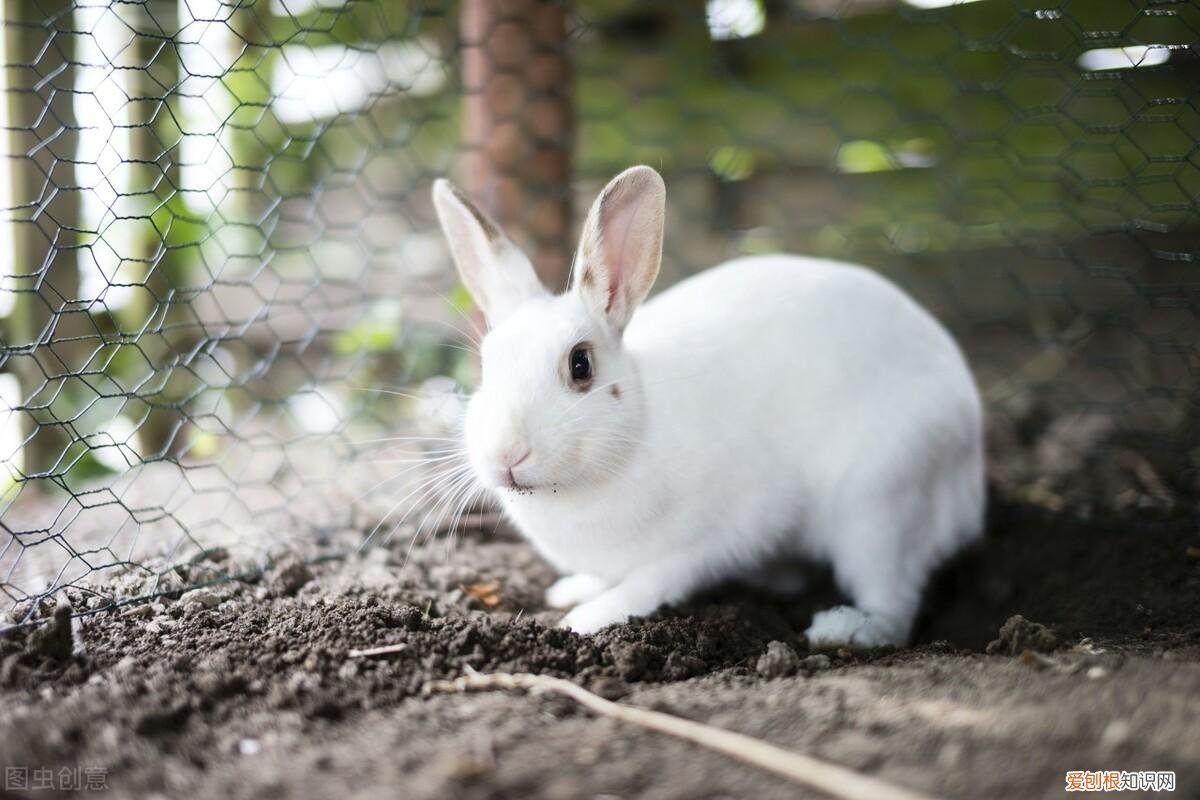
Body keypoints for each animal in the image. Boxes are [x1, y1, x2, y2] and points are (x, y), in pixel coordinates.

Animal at [434, 165, 984, 647]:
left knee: (895, 604)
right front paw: (571, 591)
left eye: (580, 364)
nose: (506, 455)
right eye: (485, 366)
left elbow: (647, 585)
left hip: (879, 502)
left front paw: (583, 618)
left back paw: (845, 631)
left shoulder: (696, 547)